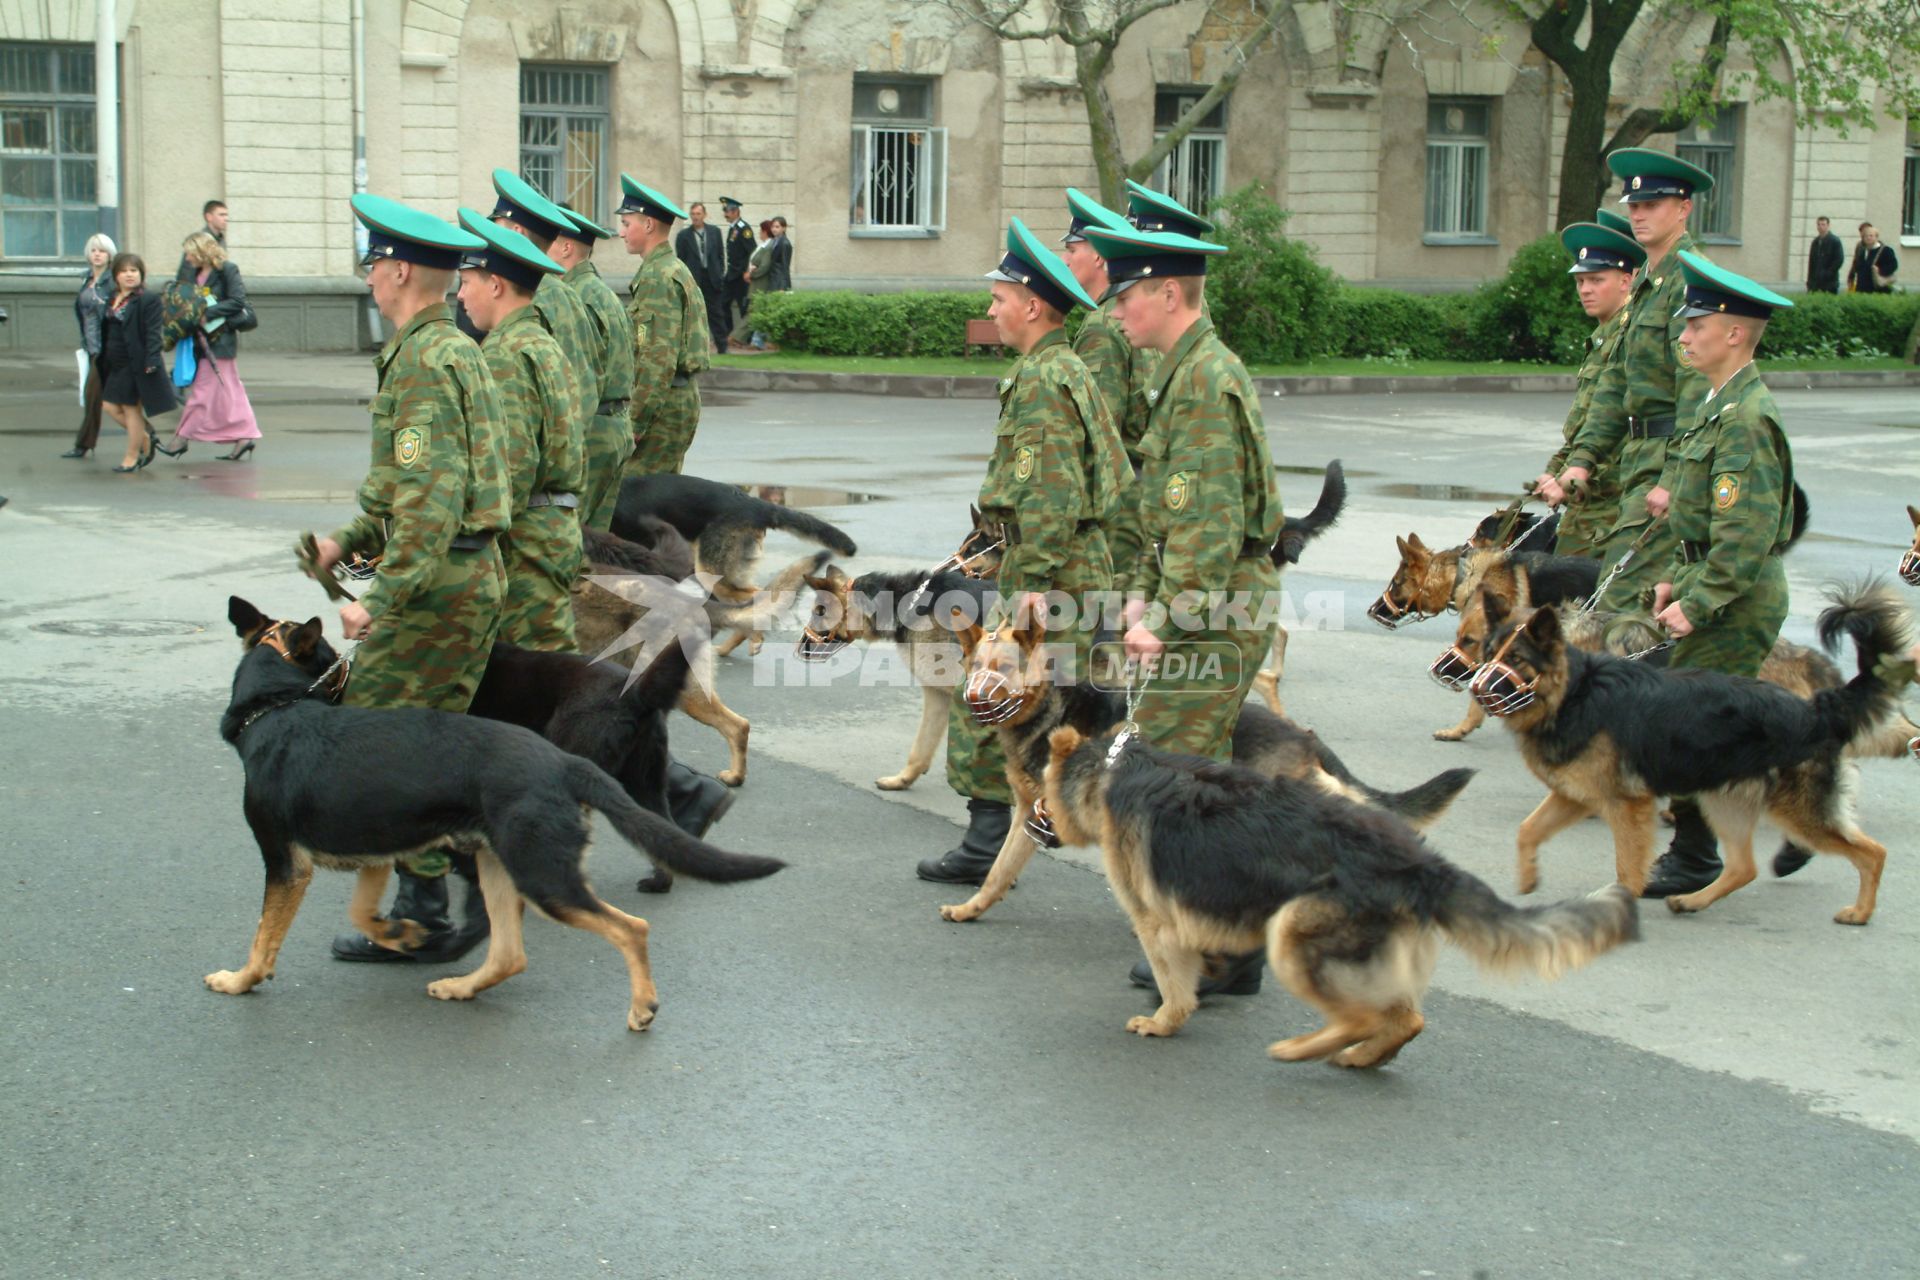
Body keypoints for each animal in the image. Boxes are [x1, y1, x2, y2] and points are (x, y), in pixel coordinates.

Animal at [208, 598, 779, 1028]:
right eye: (331, 658)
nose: (348, 674)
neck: (275, 707)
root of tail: (563, 762)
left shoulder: (286, 864)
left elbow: (264, 936)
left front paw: (241, 979)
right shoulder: (376, 855)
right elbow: (363, 913)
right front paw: (402, 935)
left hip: (541, 874)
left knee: (629, 928)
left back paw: (642, 1007)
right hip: (506, 860)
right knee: (510, 952)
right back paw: (462, 985)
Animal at [936, 617, 1474, 924]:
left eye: (1005, 668)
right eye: (976, 665)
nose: (974, 700)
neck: (1049, 709)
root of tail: (1302, 734)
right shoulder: (1030, 817)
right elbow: (997, 873)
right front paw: (971, 908)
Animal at [1036, 721, 1635, 1059]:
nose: (1035, 820)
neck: (1114, 769)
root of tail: (1418, 862)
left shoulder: (1156, 923)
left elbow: (1173, 984)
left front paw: (1164, 1022)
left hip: (1292, 933)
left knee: (1361, 1017)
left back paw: (1302, 1050)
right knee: (1405, 1019)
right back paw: (1362, 1057)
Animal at [1466, 587, 1904, 924]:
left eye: (1517, 659)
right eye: (1490, 651)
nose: (1476, 689)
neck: (1574, 694)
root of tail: (1817, 709)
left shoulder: (1626, 805)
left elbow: (1627, 865)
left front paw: (1619, 906)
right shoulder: (1574, 796)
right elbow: (1528, 830)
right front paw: (1528, 876)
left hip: (1795, 811)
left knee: (1873, 853)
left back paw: (1860, 912)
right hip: (1724, 802)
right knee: (1743, 868)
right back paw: (1693, 900)